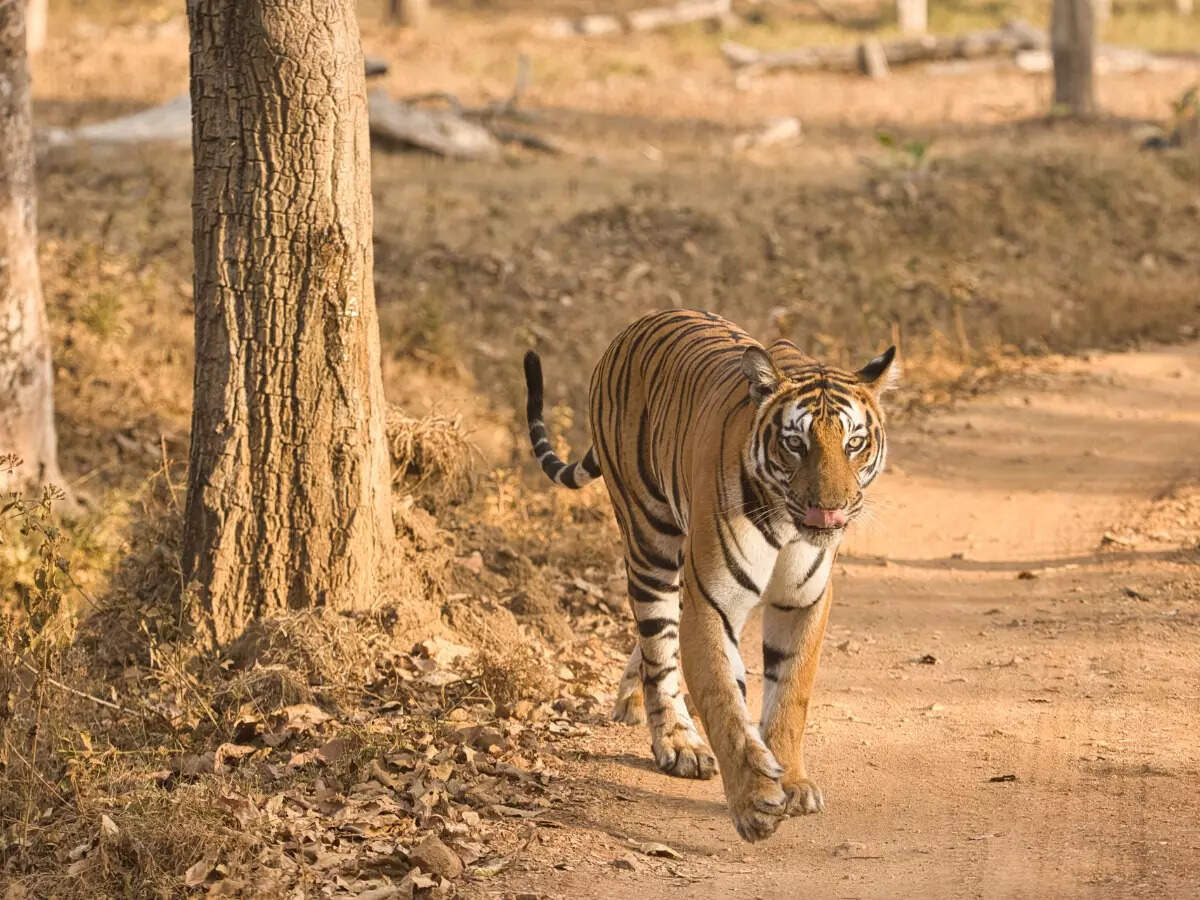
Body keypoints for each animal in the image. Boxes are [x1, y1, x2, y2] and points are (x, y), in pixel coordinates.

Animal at [522, 308, 897, 842]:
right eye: (795, 443)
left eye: (854, 443)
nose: (829, 510)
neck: (787, 525)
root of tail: (634, 327)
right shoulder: (712, 602)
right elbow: (724, 699)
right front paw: (755, 801)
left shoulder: (803, 600)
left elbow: (791, 694)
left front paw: (792, 781)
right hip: (650, 540)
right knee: (659, 644)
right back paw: (678, 741)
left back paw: (635, 698)